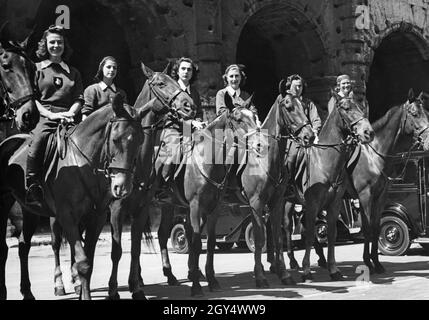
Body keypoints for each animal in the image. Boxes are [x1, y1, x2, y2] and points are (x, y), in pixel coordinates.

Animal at [0, 90, 171, 300]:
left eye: (140, 141)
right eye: (115, 139)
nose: (122, 187)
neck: (82, 163)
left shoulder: (97, 217)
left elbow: (90, 260)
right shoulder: (69, 217)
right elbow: (83, 262)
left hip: (30, 210)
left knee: (24, 246)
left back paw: (28, 291)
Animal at [286, 89, 428, 276]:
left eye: (426, 112)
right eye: (414, 114)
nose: (427, 140)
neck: (373, 155)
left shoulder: (381, 196)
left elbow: (375, 227)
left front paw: (377, 262)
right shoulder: (365, 195)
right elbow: (367, 228)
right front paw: (368, 262)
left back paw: (319, 259)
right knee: (287, 228)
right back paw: (294, 261)